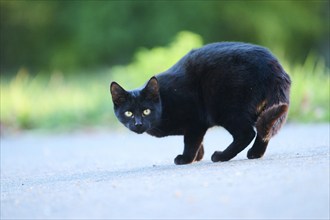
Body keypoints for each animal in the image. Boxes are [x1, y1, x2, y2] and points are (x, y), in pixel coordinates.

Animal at [109, 41, 290, 165]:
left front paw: (186, 159)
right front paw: (198, 157)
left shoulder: (195, 121)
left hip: (227, 109)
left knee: (247, 133)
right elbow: (199, 142)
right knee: (265, 127)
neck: (165, 100)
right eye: (129, 113)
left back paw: (221, 156)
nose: (138, 124)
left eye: (146, 111)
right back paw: (255, 153)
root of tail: (272, 64)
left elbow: (190, 141)